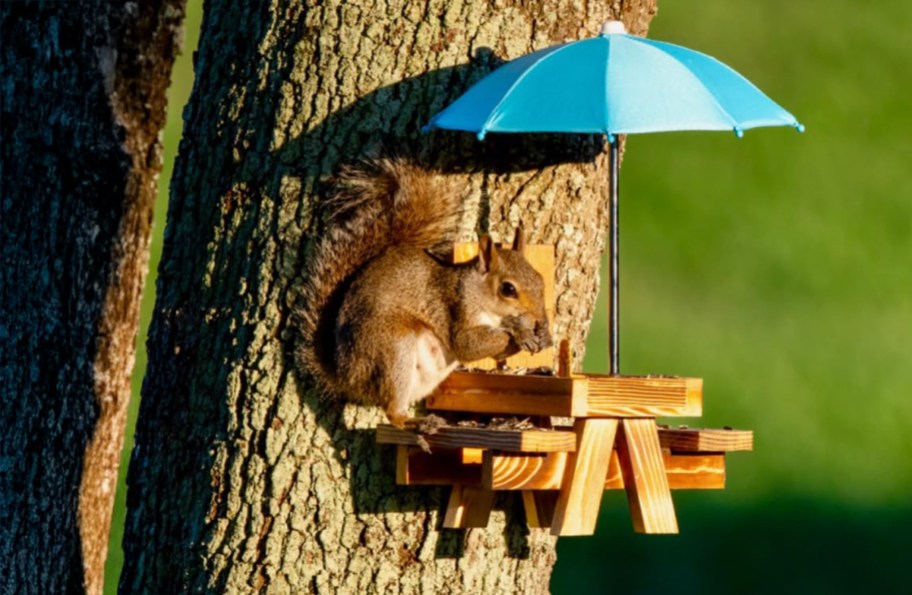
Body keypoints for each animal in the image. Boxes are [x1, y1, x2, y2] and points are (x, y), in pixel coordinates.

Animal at [295, 158, 552, 427]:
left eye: (540, 279)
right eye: (508, 289)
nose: (540, 319)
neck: (478, 293)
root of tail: (344, 376)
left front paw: (543, 335)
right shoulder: (455, 307)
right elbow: (467, 345)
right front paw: (519, 333)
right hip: (392, 347)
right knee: (392, 410)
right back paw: (416, 423)